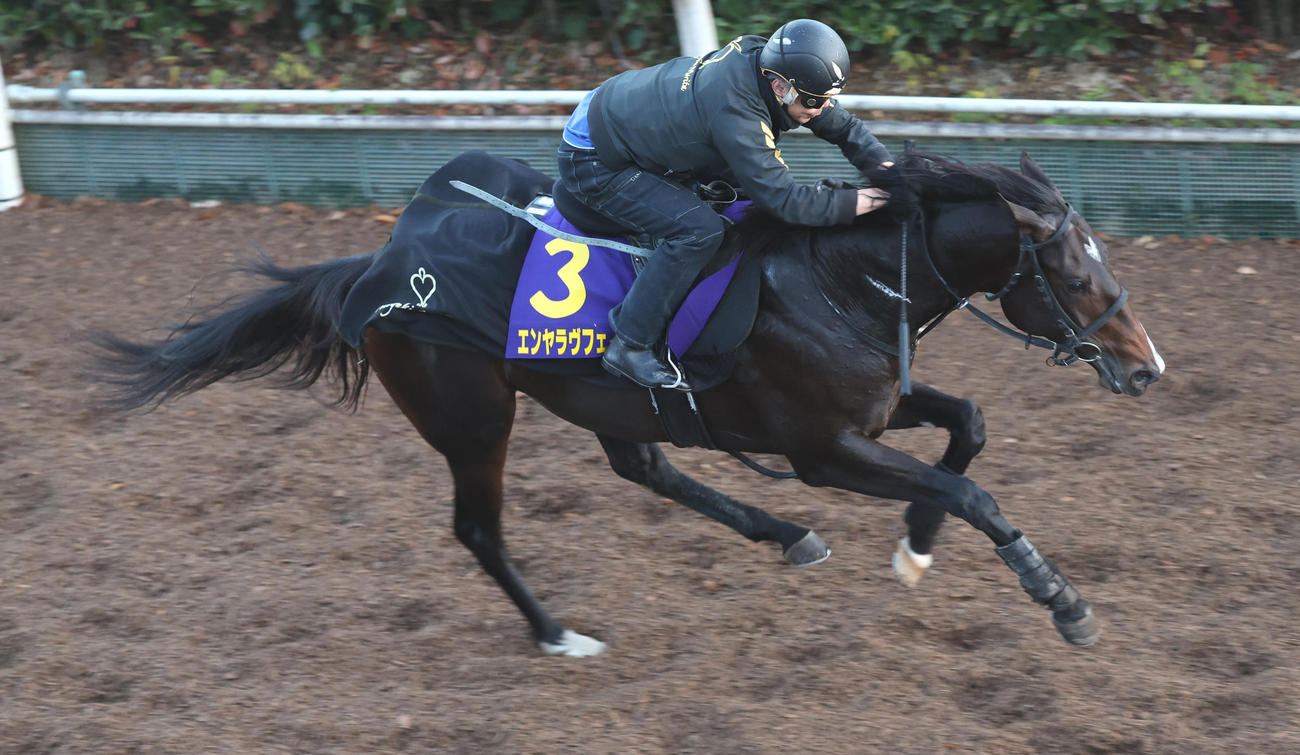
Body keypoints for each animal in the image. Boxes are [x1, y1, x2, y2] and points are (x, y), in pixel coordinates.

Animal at [91, 150, 1165, 656]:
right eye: (1074, 274)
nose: (1148, 365)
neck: (842, 278)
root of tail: (382, 264)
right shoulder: (823, 449)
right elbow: (974, 492)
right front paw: (1062, 602)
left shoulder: (868, 414)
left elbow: (969, 428)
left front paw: (915, 546)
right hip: (474, 416)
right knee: (480, 528)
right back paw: (558, 632)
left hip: (597, 399)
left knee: (645, 463)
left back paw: (787, 534)